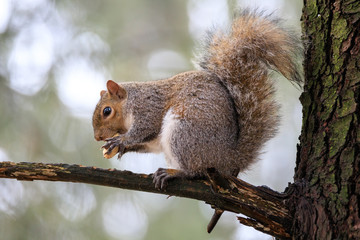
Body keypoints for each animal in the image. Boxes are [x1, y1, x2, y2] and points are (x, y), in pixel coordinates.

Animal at [91, 10, 302, 233]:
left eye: (107, 111)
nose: (97, 137)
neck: (131, 101)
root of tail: (228, 158)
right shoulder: (153, 138)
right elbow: (149, 144)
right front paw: (122, 147)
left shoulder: (149, 108)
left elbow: (145, 128)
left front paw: (121, 141)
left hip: (184, 133)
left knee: (195, 171)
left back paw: (175, 173)